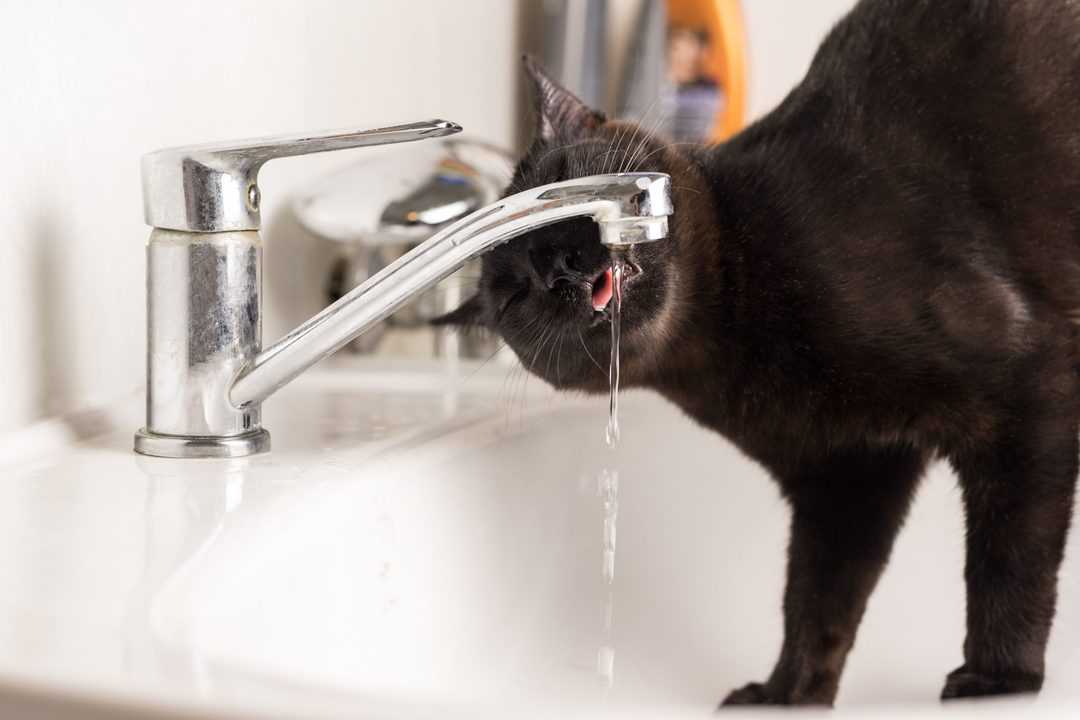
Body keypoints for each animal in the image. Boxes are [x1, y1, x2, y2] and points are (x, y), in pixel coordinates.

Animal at [436, 0, 1080, 703]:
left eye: (559, 187)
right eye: (515, 293)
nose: (556, 261)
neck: (727, 341)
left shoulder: (1026, 387)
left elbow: (1007, 562)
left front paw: (1000, 681)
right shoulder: (846, 476)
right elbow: (817, 599)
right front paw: (788, 693)